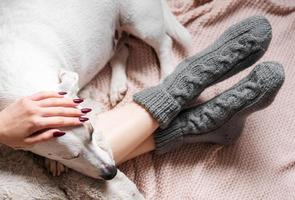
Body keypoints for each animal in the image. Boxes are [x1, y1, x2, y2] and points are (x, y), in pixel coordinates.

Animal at [0, 0, 192, 181]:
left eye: (92, 132)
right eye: (69, 157)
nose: (112, 172)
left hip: (138, 22)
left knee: (164, 43)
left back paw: (166, 75)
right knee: (122, 50)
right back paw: (117, 85)